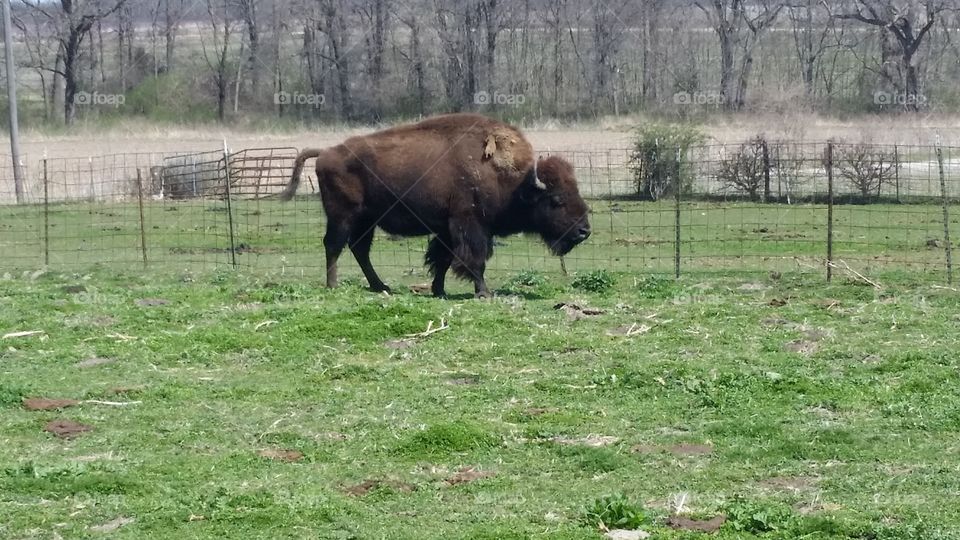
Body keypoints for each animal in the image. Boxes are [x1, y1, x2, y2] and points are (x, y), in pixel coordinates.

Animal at [280, 113, 590, 298]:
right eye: (557, 200)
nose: (584, 231)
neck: (516, 182)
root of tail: (327, 152)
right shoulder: (470, 225)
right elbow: (475, 260)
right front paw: (484, 293)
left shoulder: (447, 229)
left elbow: (441, 260)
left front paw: (438, 291)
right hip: (343, 216)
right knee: (334, 245)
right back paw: (333, 285)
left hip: (366, 221)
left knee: (359, 250)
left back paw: (381, 286)